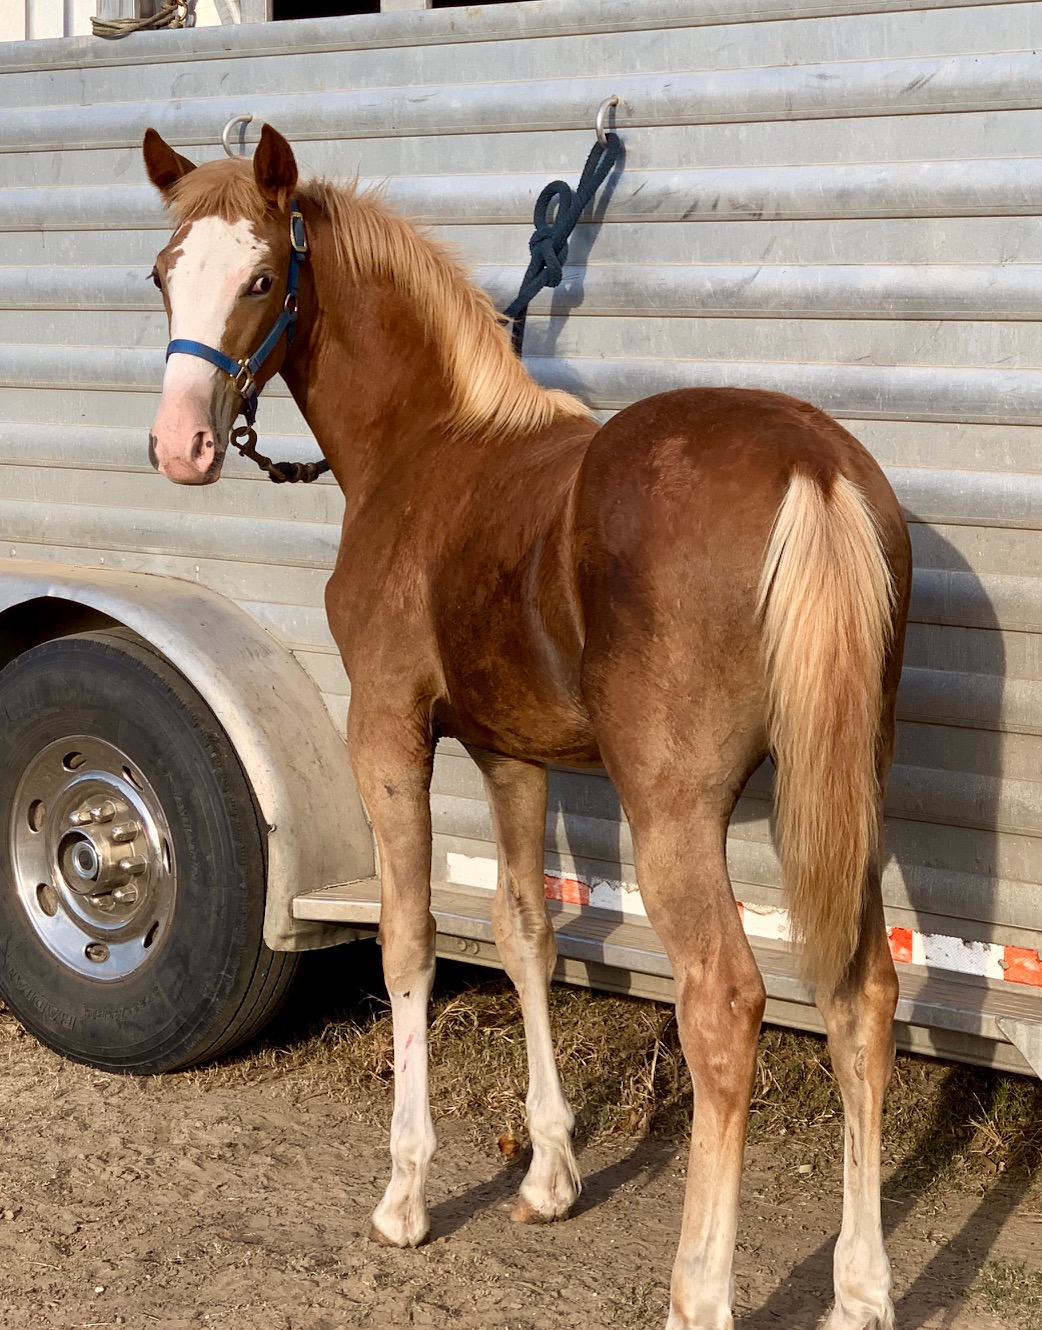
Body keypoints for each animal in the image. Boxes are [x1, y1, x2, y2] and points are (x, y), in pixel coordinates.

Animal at [140, 125, 915, 1330]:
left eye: (263, 278)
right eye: (164, 274)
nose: (179, 446)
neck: (429, 448)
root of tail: (815, 469)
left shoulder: (389, 734)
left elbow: (409, 939)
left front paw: (405, 1194)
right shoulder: (511, 754)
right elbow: (524, 935)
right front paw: (549, 1174)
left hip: (674, 809)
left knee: (724, 1003)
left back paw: (699, 1290)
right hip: (842, 790)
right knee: (861, 996)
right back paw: (861, 1290)